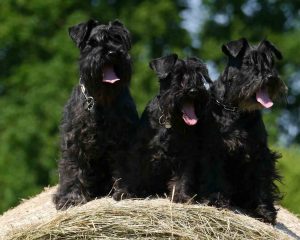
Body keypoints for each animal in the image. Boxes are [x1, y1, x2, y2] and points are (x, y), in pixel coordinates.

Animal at [113, 54, 212, 202]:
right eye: (178, 76)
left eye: (199, 77)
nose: (194, 91)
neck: (169, 122)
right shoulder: (137, 150)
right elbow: (132, 171)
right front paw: (126, 192)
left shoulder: (186, 153)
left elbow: (183, 176)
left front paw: (181, 195)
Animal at [210, 37, 288, 223]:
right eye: (247, 63)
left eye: (270, 63)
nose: (270, 77)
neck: (236, 109)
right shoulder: (216, 148)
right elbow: (216, 174)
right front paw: (218, 199)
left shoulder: (260, 153)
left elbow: (262, 182)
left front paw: (265, 211)